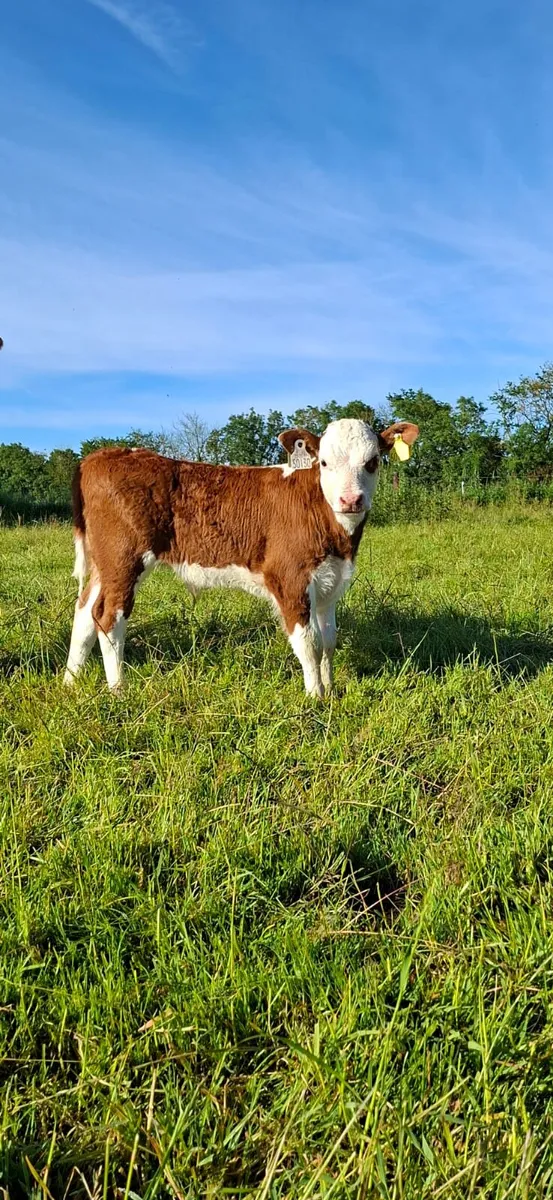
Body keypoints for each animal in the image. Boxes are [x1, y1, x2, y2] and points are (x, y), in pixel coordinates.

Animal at [64, 418, 419, 697]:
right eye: (324, 463)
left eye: (372, 461)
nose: (350, 500)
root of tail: (100, 456)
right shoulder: (290, 578)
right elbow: (310, 643)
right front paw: (315, 695)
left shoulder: (330, 583)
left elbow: (329, 641)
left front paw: (331, 690)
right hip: (124, 557)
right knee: (108, 616)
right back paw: (118, 688)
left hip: (105, 563)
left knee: (84, 611)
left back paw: (70, 681)